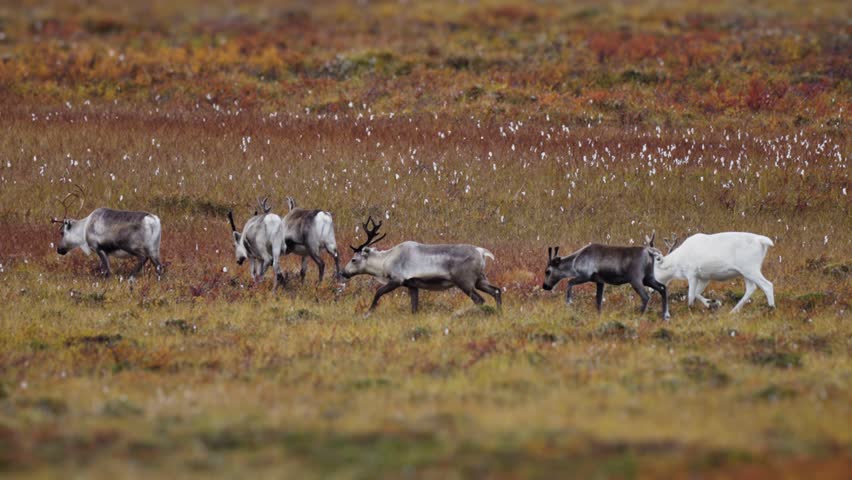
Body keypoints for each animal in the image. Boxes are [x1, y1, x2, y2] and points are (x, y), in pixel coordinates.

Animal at [341, 217, 502, 314]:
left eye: (354, 259)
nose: (343, 272)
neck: (386, 260)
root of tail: (481, 252)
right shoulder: (412, 285)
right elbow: (414, 307)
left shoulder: (397, 280)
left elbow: (378, 293)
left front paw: (368, 313)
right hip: (480, 280)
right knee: (496, 291)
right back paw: (499, 313)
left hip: (465, 282)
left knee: (480, 300)